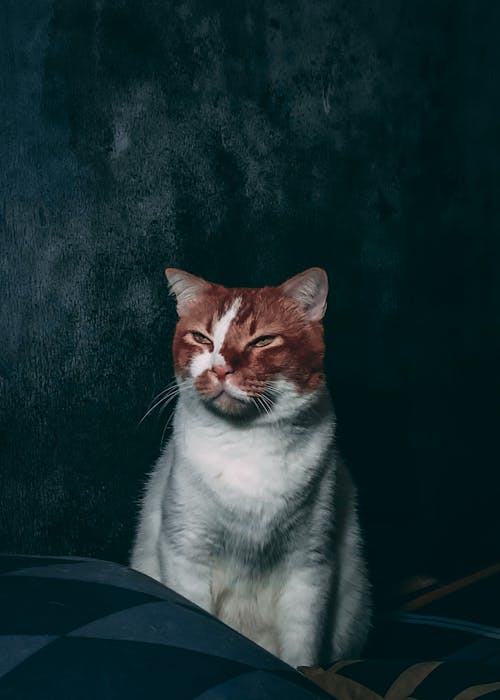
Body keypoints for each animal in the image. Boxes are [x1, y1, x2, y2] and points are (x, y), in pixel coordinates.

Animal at [130, 268, 372, 668]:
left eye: (263, 340)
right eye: (201, 338)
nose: (219, 368)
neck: (247, 445)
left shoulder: (310, 563)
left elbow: (302, 649)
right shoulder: (187, 551)